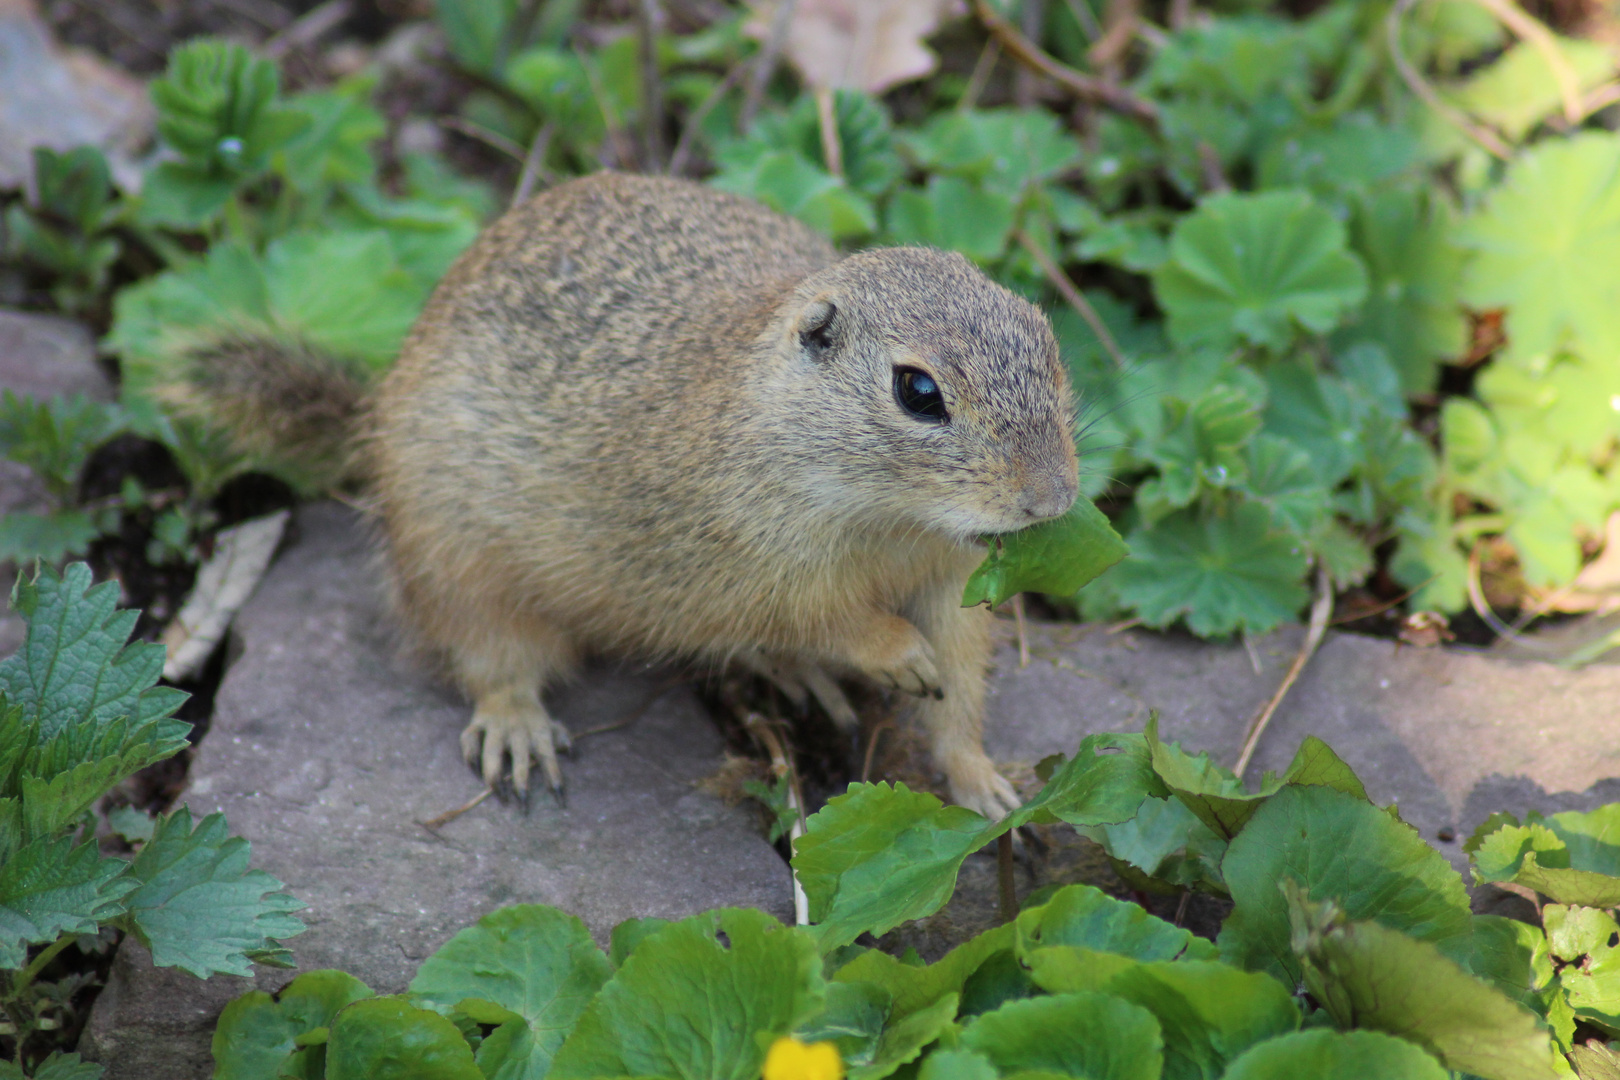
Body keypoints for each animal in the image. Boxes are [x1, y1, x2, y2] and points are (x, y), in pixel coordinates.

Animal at [196, 173, 1082, 822]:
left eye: (1046, 335)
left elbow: (960, 692)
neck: (893, 520)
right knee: (488, 657)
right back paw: (518, 732)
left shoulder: (950, 585)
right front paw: (896, 655)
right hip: (451, 559)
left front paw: (987, 785)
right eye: (918, 391)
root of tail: (371, 417)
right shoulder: (747, 569)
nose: (1052, 500)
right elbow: (830, 621)